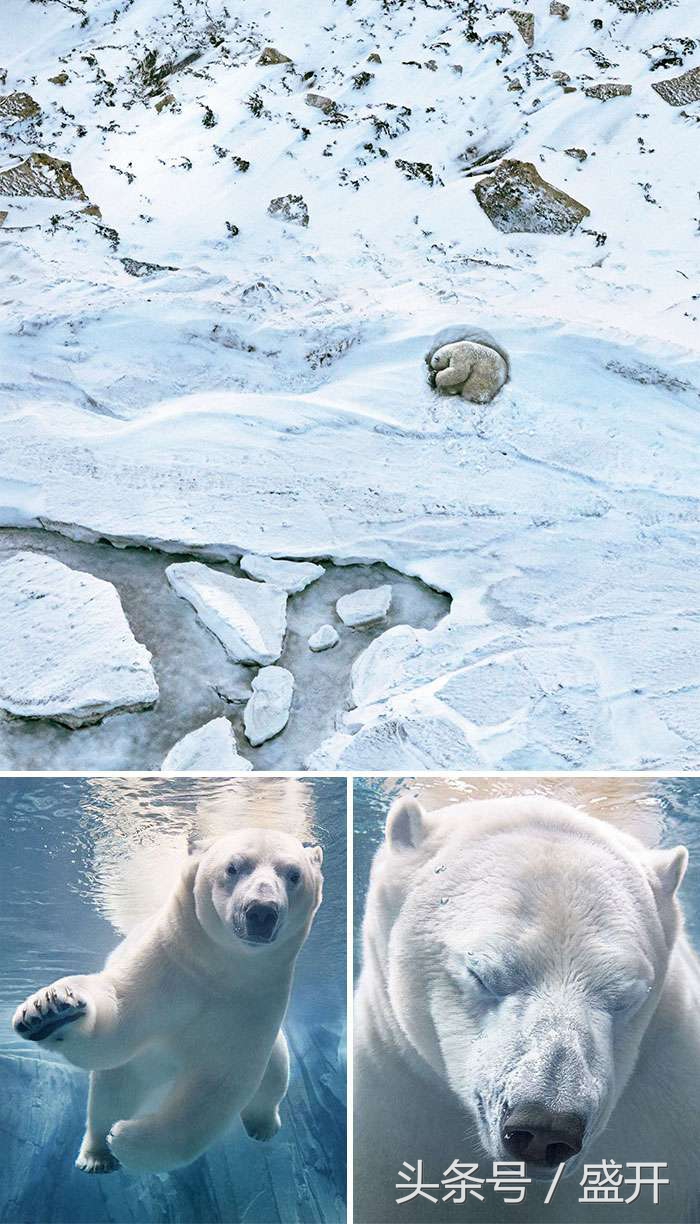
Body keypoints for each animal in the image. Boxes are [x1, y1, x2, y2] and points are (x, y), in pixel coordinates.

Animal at [13, 827, 325, 1170]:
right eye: (233, 867)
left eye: (294, 874)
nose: (261, 911)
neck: (217, 967)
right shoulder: (165, 963)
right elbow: (117, 1025)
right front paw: (49, 1011)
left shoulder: (254, 1001)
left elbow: (216, 1087)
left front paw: (127, 1139)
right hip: (134, 1073)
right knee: (109, 1096)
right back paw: (96, 1156)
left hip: (276, 1045)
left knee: (275, 1077)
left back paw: (263, 1126)